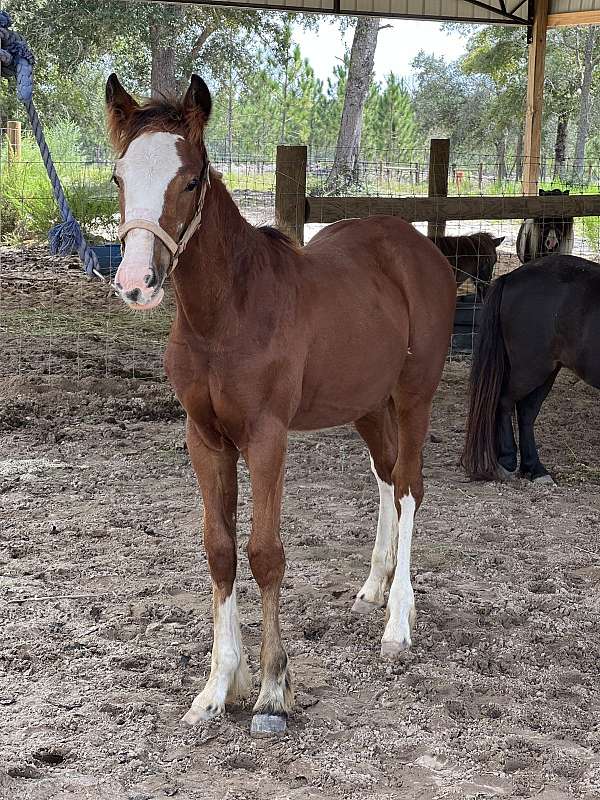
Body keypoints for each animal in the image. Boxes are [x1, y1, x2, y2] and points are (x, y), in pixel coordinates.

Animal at [106, 73, 454, 732]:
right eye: (118, 177)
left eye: (190, 180)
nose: (137, 283)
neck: (226, 315)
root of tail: (417, 248)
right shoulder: (205, 437)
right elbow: (220, 551)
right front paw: (219, 686)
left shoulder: (266, 437)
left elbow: (264, 553)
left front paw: (271, 688)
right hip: (365, 403)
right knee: (385, 474)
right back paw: (373, 587)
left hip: (412, 395)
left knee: (409, 485)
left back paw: (398, 622)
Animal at [464, 256, 600, 482]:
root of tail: (511, 277)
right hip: (531, 369)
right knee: (504, 403)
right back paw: (507, 461)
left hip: (545, 372)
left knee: (526, 413)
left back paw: (534, 468)